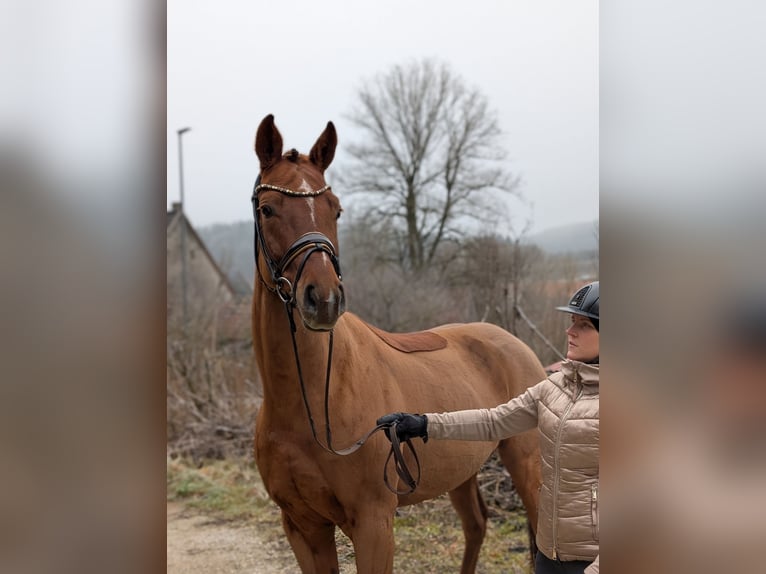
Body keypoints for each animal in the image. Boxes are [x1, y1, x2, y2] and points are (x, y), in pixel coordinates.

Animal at [254, 115, 544, 572]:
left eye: (336, 209)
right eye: (267, 209)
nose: (324, 299)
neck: (313, 402)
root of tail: (514, 344)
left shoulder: (373, 523)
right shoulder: (302, 526)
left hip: (526, 463)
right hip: (463, 471)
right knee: (476, 525)